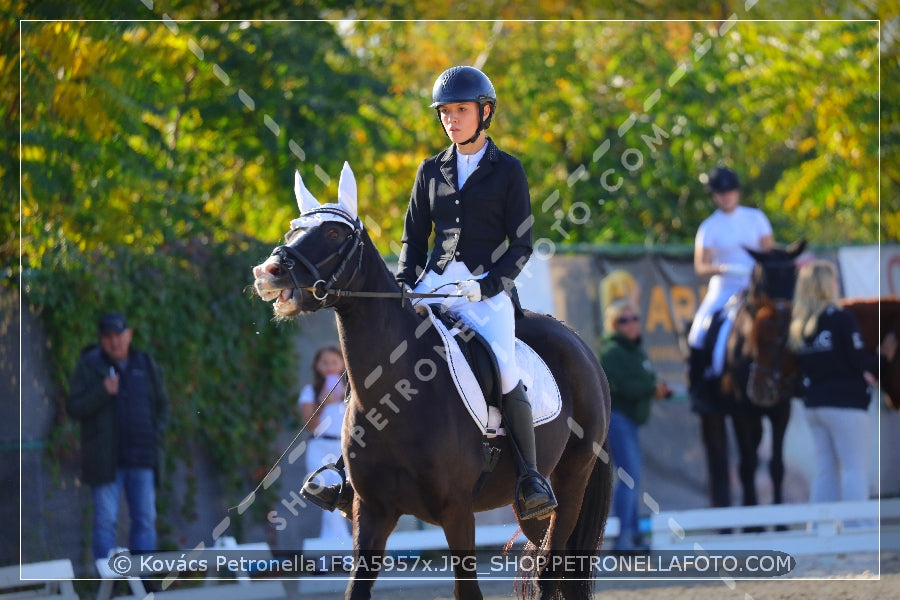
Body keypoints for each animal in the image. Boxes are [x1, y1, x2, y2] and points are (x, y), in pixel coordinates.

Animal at [253, 165, 612, 600]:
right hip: (535, 505)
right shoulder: (371, 511)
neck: (396, 394)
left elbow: (467, 591)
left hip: (572, 481)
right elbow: (356, 589)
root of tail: (577, 342)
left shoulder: (456, 510)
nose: (268, 274)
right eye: (292, 230)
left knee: (551, 571)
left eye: (335, 234)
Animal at [720, 241, 804, 512]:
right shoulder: (740, 412)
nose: (784, 308)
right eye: (763, 278)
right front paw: (751, 515)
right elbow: (747, 467)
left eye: (794, 274)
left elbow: (777, 466)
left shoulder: (781, 410)